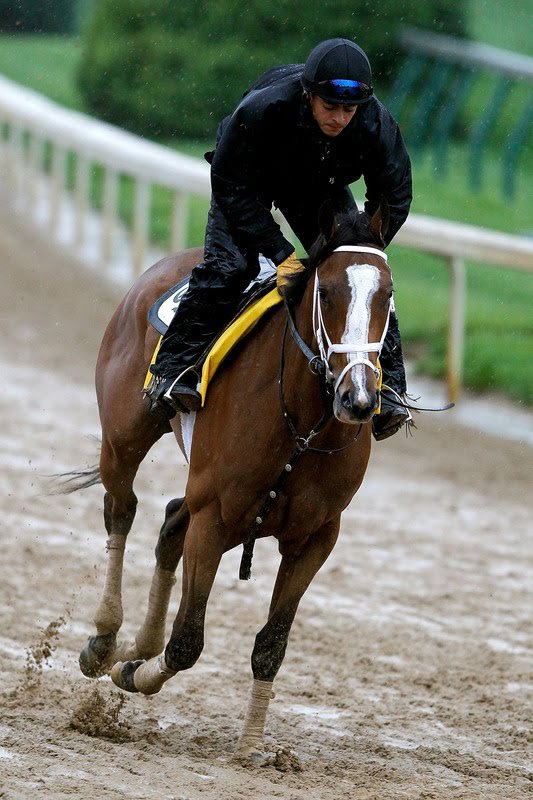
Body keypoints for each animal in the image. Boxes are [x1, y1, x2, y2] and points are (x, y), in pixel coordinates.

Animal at [78, 202, 394, 764]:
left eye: (387, 295)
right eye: (328, 293)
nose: (358, 397)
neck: (302, 424)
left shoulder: (315, 538)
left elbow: (271, 645)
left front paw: (249, 749)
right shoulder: (215, 521)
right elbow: (187, 640)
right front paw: (135, 672)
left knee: (169, 523)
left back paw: (135, 645)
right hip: (123, 437)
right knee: (123, 508)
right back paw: (106, 639)